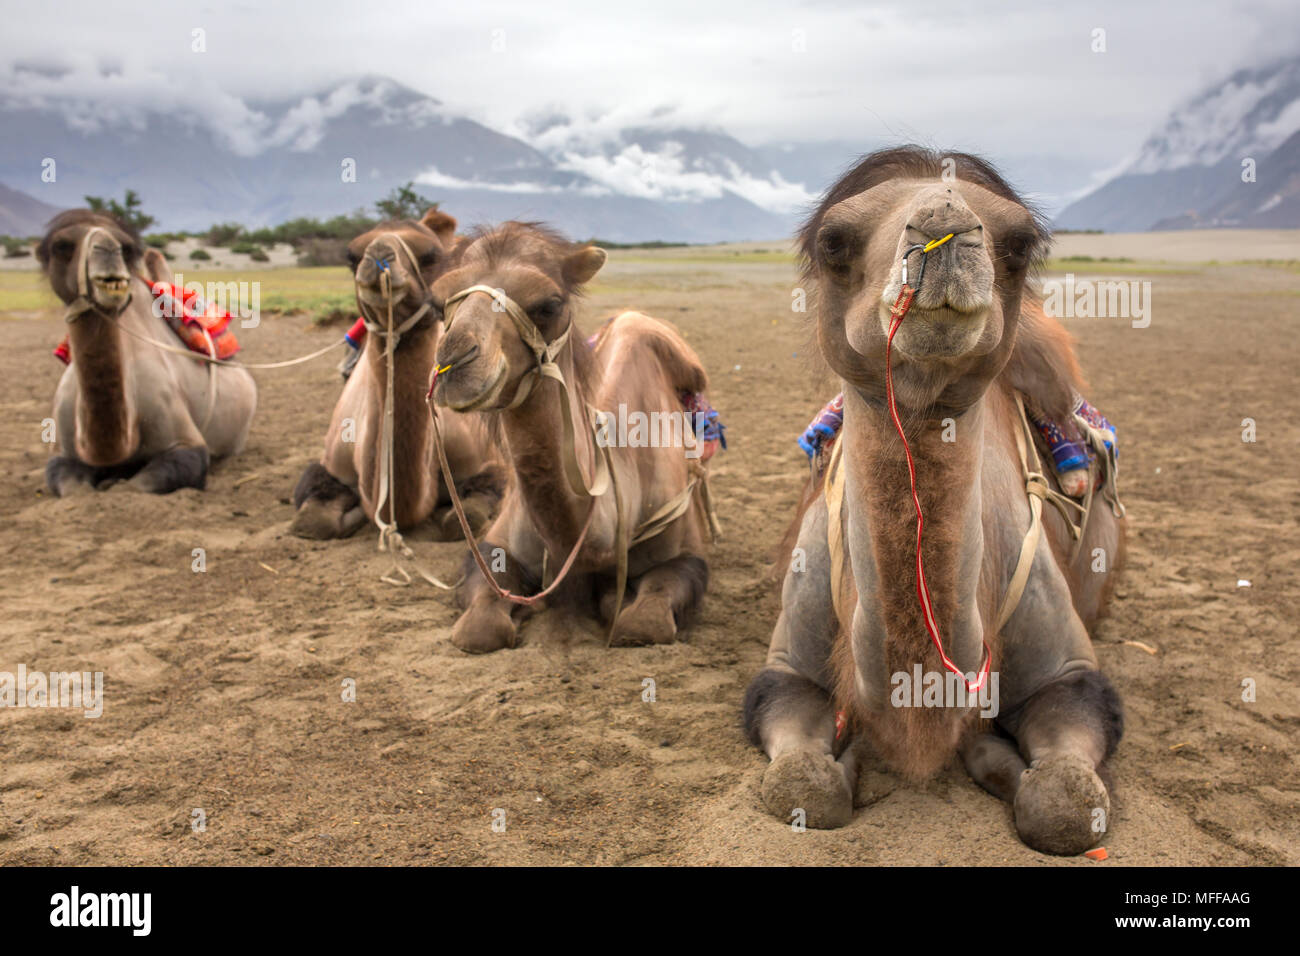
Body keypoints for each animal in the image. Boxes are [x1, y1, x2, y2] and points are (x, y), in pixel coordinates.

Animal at [36, 209, 256, 494]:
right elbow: (75, 489)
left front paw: (114, 482)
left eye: (127, 247)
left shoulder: (186, 442)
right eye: (61, 246)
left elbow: (134, 487)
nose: (109, 250)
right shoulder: (61, 451)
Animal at [293, 209, 501, 541]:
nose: (378, 256)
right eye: (350, 257)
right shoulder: (329, 465)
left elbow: (462, 520)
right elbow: (313, 521)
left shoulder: (487, 464)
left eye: (431, 256)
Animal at [428, 223, 717, 655]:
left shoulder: (684, 554)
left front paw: (612, 598)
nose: (454, 362)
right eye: (436, 303)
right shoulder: (495, 544)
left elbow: (642, 622)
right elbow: (477, 630)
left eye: (549, 304)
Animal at [743, 145, 1128, 858]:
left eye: (1019, 243)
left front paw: (987, 754)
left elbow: (1065, 803)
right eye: (834, 241)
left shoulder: (1069, 674)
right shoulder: (786, 671)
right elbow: (801, 785)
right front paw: (854, 758)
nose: (943, 233)